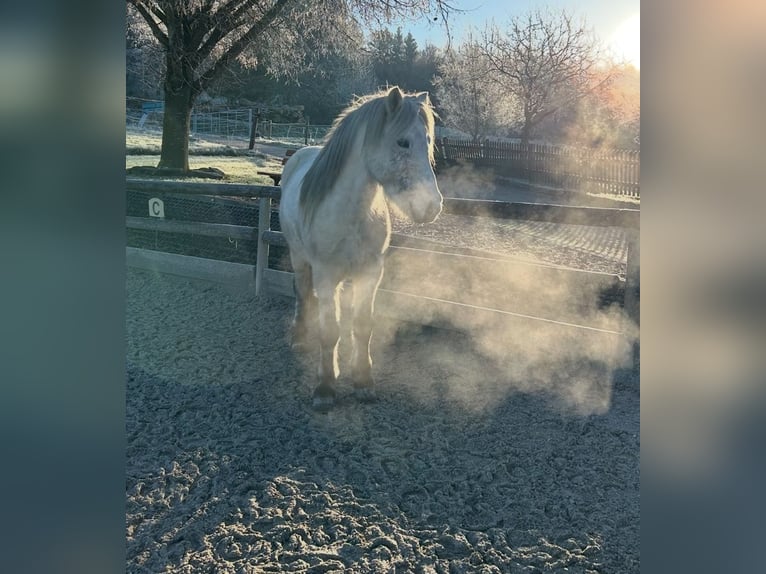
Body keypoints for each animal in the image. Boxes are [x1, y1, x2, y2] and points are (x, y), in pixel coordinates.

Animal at [280, 85, 444, 412]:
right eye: (402, 141)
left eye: (428, 142)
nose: (431, 206)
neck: (353, 214)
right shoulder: (326, 275)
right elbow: (330, 331)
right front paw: (325, 387)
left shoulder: (370, 274)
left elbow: (362, 325)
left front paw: (362, 380)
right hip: (300, 258)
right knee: (301, 291)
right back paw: (299, 335)